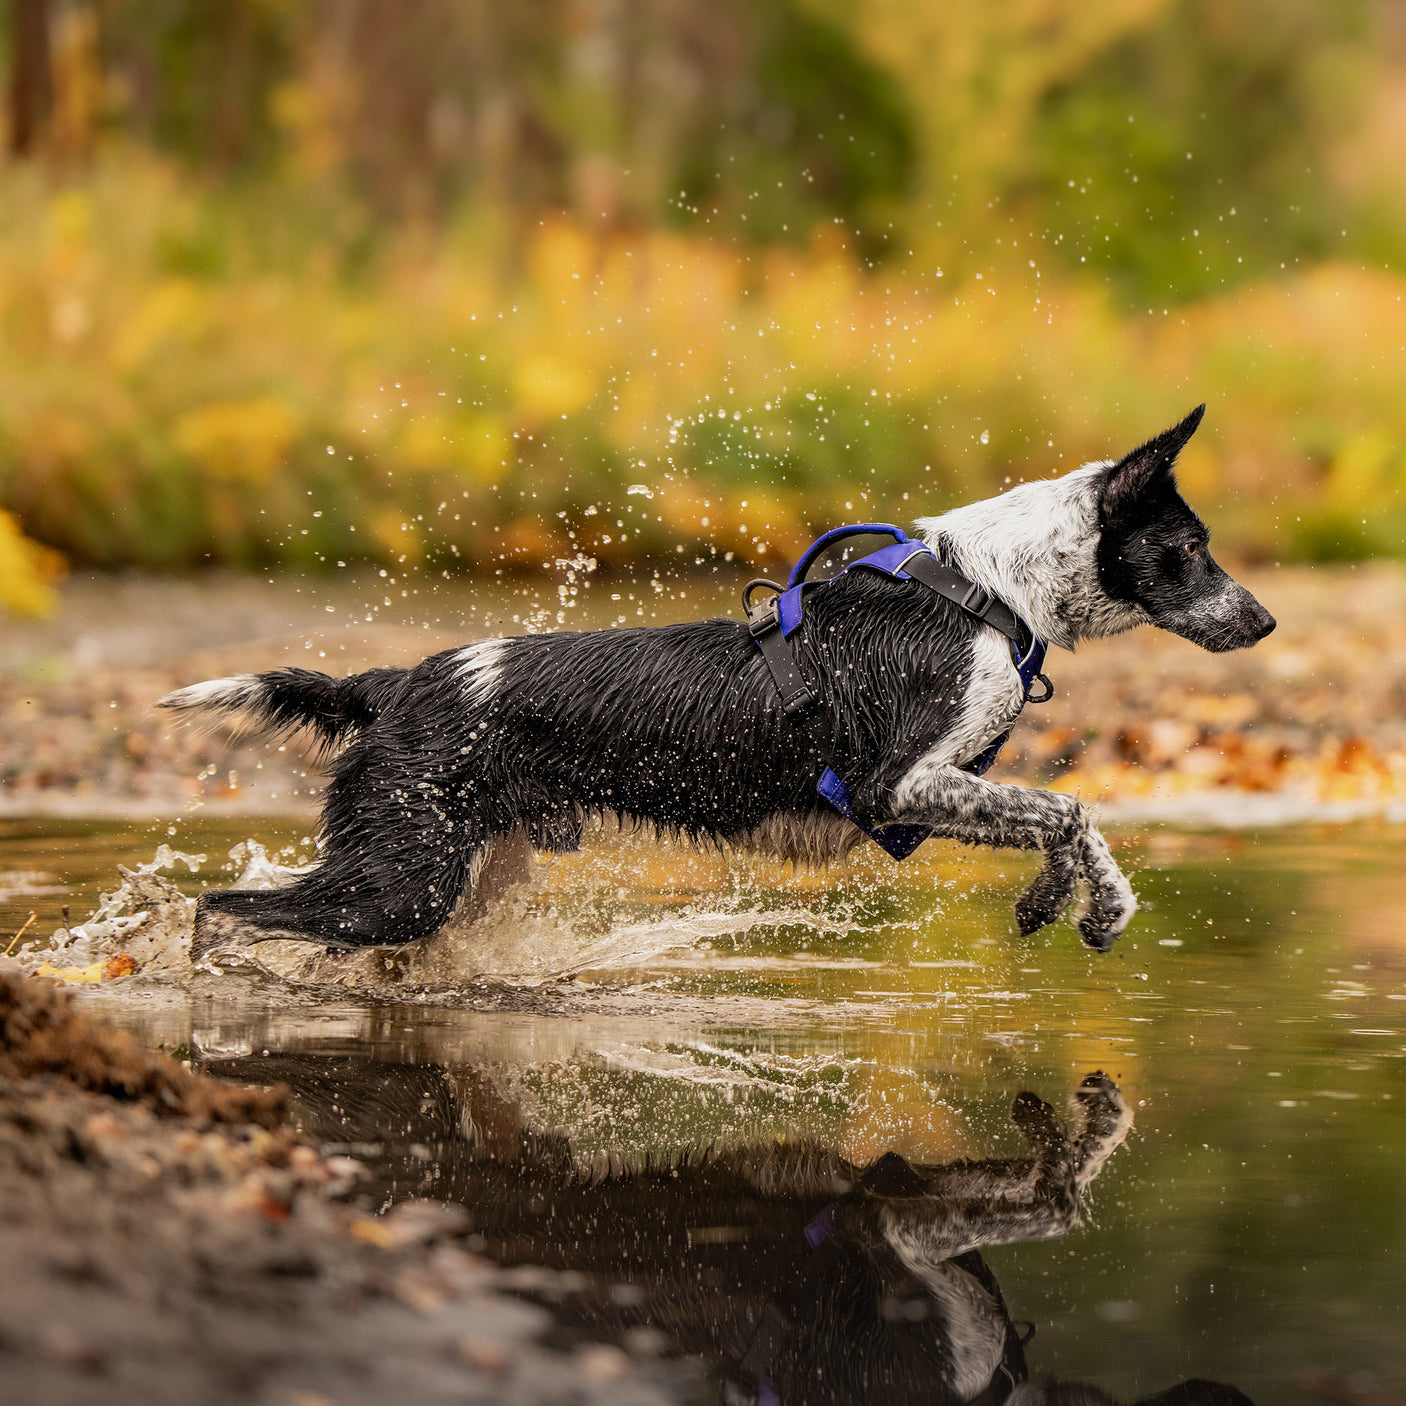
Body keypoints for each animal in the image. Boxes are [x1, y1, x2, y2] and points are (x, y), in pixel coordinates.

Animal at [161, 407, 1276, 956]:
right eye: (1190, 550)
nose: (1263, 620)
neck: (983, 592)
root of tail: (394, 683)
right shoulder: (898, 786)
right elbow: (1069, 808)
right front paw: (1088, 906)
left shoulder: (930, 797)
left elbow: (1062, 821)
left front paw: (1067, 903)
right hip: (404, 879)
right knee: (219, 912)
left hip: (462, 877)